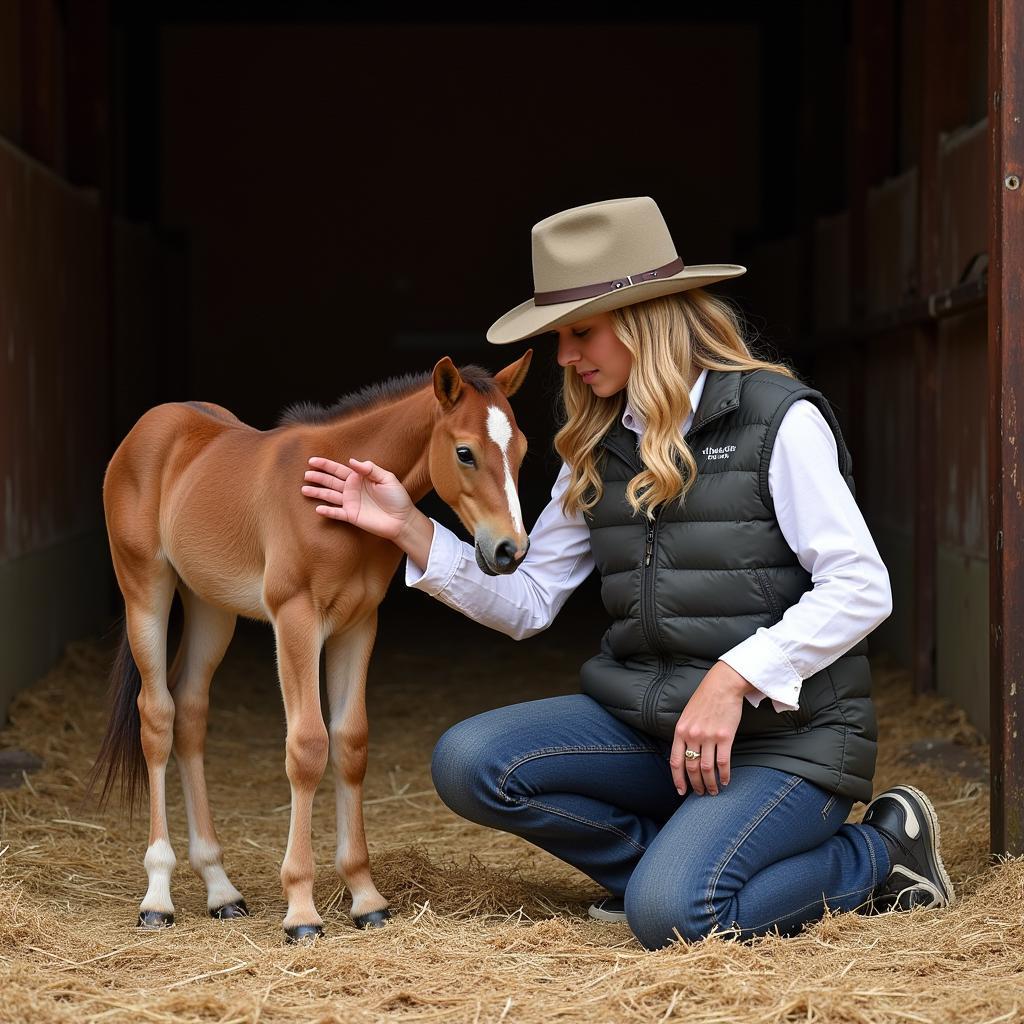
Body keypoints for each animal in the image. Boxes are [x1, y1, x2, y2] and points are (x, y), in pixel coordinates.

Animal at [91, 354, 532, 942]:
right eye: (465, 452)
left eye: (522, 449)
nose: (510, 551)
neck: (333, 498)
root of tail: (150, 426)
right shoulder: (295, 619)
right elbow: (306, 746)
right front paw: (301, 910)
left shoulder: (358, 625)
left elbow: (351, 742)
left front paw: (366, 898)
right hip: (146, 588)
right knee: (157, 716)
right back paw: (157, 896)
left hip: (210, 607)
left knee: (190, 712)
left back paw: (221, 890)